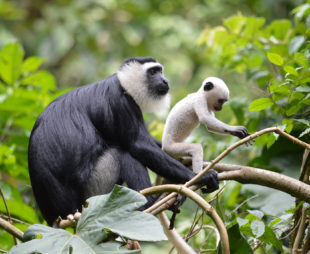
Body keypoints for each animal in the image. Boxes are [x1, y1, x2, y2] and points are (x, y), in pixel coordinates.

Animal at [27, 56, 219, 225]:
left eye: (161, 71)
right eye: (153, 72)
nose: (165, 80)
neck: (122, 83)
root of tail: (59, 215)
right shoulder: (121, 102)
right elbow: (139, 145)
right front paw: (199, 177)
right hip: (94, 191)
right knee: (122, 154)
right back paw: (151, 203)